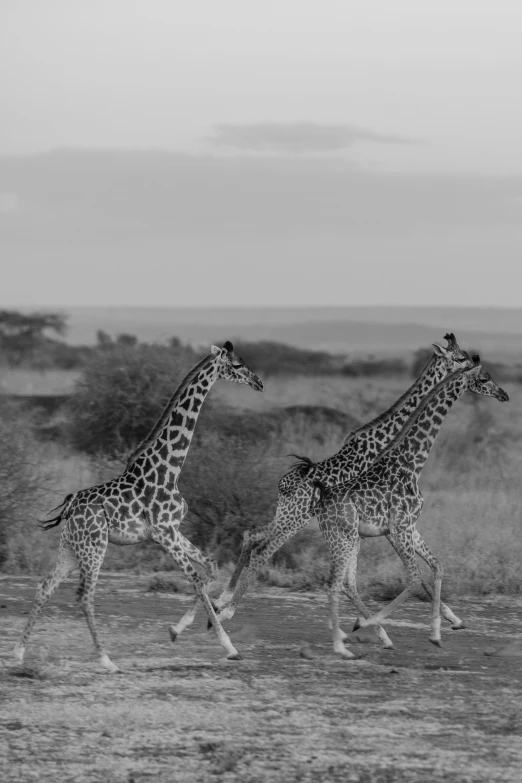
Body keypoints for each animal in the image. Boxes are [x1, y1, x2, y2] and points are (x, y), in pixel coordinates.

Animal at [13, 344, 264, 672]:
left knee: (45, 587)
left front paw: (179, 629)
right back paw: (106, 660)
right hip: (94, 547)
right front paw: (229, 646)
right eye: (236, 365)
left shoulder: (171, 531)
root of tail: (70, 507)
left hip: (69, 548)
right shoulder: (164, 534)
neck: (170, 468)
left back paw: (18, 652)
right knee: (84, 596)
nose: (259, 383)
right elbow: (196, 580)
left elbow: (210, 566)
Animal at [210, 330, 472, 624]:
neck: (383, 440)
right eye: (459, 358)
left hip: (286, 515)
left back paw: (222, 598)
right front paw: (448, 615)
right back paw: (228, 608)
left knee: (250, 535)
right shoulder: (386, 522)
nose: (474, 366)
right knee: (262, 550)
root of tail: (284, 483)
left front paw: (451, 616)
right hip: (296, 519)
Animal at [310, 356, 506, 656]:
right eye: (484, 378)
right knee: (334, 583)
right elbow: (414, 579)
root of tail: (321, 500)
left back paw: (364, 637)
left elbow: (437, 566)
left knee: (346, 583)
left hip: (351, 539)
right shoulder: (399, 527)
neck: (412, 464)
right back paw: (342, 646)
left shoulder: (410, 526)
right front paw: (362, 625)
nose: (504, 394)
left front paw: (437, 634)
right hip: (341, 538)